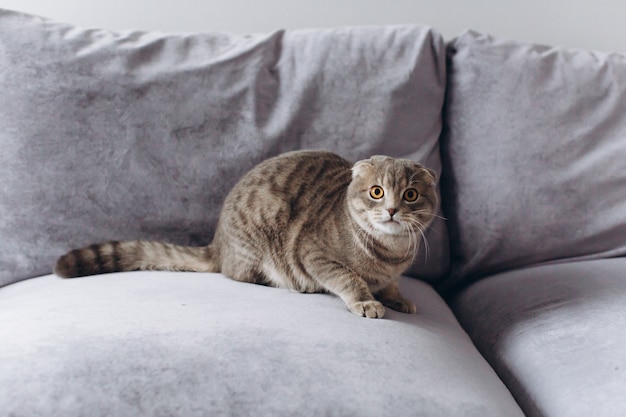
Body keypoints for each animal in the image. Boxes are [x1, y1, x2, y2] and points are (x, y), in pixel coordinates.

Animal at [53, 151, 436, 316]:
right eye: (376, 192)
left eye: (410, 195)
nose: (392, 209)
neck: (389, 254)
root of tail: (218, 243)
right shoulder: (315, 255)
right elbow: (349, 279)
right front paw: (367, 300)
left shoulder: (392, 272)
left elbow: (391, 285)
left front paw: (397, 297)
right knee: (240, 274)